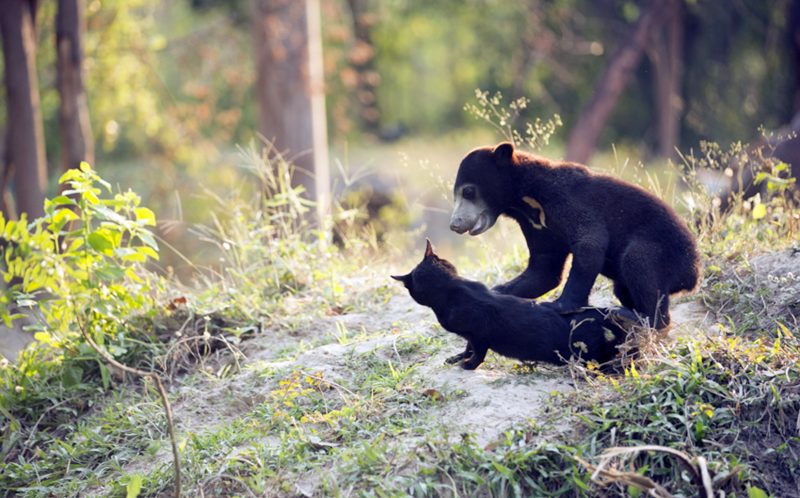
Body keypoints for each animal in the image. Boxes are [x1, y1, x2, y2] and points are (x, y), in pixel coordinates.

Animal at [392, 241, 636, 370]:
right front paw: (458, 357)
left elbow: (478, 352)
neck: (452, 289)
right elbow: (468, 347)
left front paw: (468, 365)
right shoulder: (470, 336)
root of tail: (597, 311)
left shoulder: (479, 333)